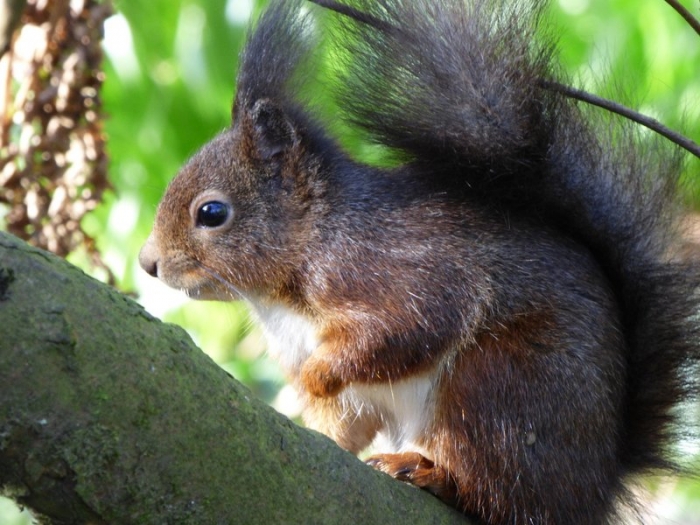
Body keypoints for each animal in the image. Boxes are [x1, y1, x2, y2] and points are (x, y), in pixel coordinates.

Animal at [138, 0, 700, 523]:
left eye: (212, 213)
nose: (147, 264)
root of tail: (596, 490)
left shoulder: (395, 270)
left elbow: (407, 327)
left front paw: (319, 375)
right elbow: (343, 421)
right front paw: (313, 422)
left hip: (496, 392)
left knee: (500, 494)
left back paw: (431, 474)